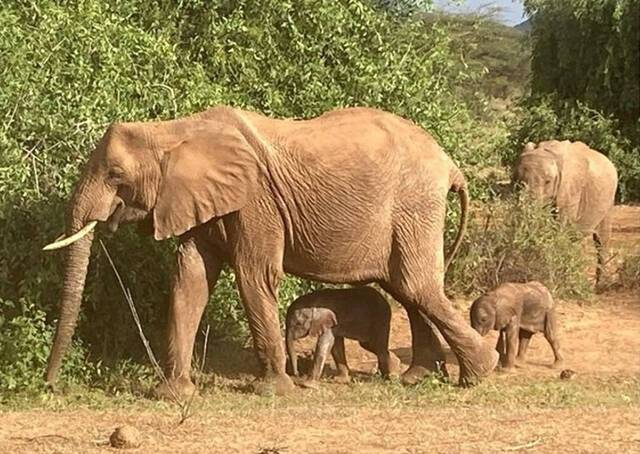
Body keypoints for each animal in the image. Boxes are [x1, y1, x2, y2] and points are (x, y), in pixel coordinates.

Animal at [42, 104, 498, 396]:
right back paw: (418, 377)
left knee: (417, 285)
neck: (173, 130)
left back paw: (480, 373)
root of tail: (450, 164)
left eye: (116, 175)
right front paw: (174, 394)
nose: (50, 386)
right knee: (407, 289)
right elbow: (191, 278)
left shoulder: (256, 201)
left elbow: (254, 274)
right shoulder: (200, 199)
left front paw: (273, 390)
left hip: (414, 204)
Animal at [288, 282, 564, 384]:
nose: (294, 373)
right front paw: (339, 380)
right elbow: (334, 344)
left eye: (296, 323)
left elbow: (326, 344)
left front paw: (308, 384)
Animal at [512, 140, 616, 286]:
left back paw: (600, 285)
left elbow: (560, 227)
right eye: (518, 181)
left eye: (548, 181)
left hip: (609, 200)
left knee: (601, 240)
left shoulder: (569, 189)